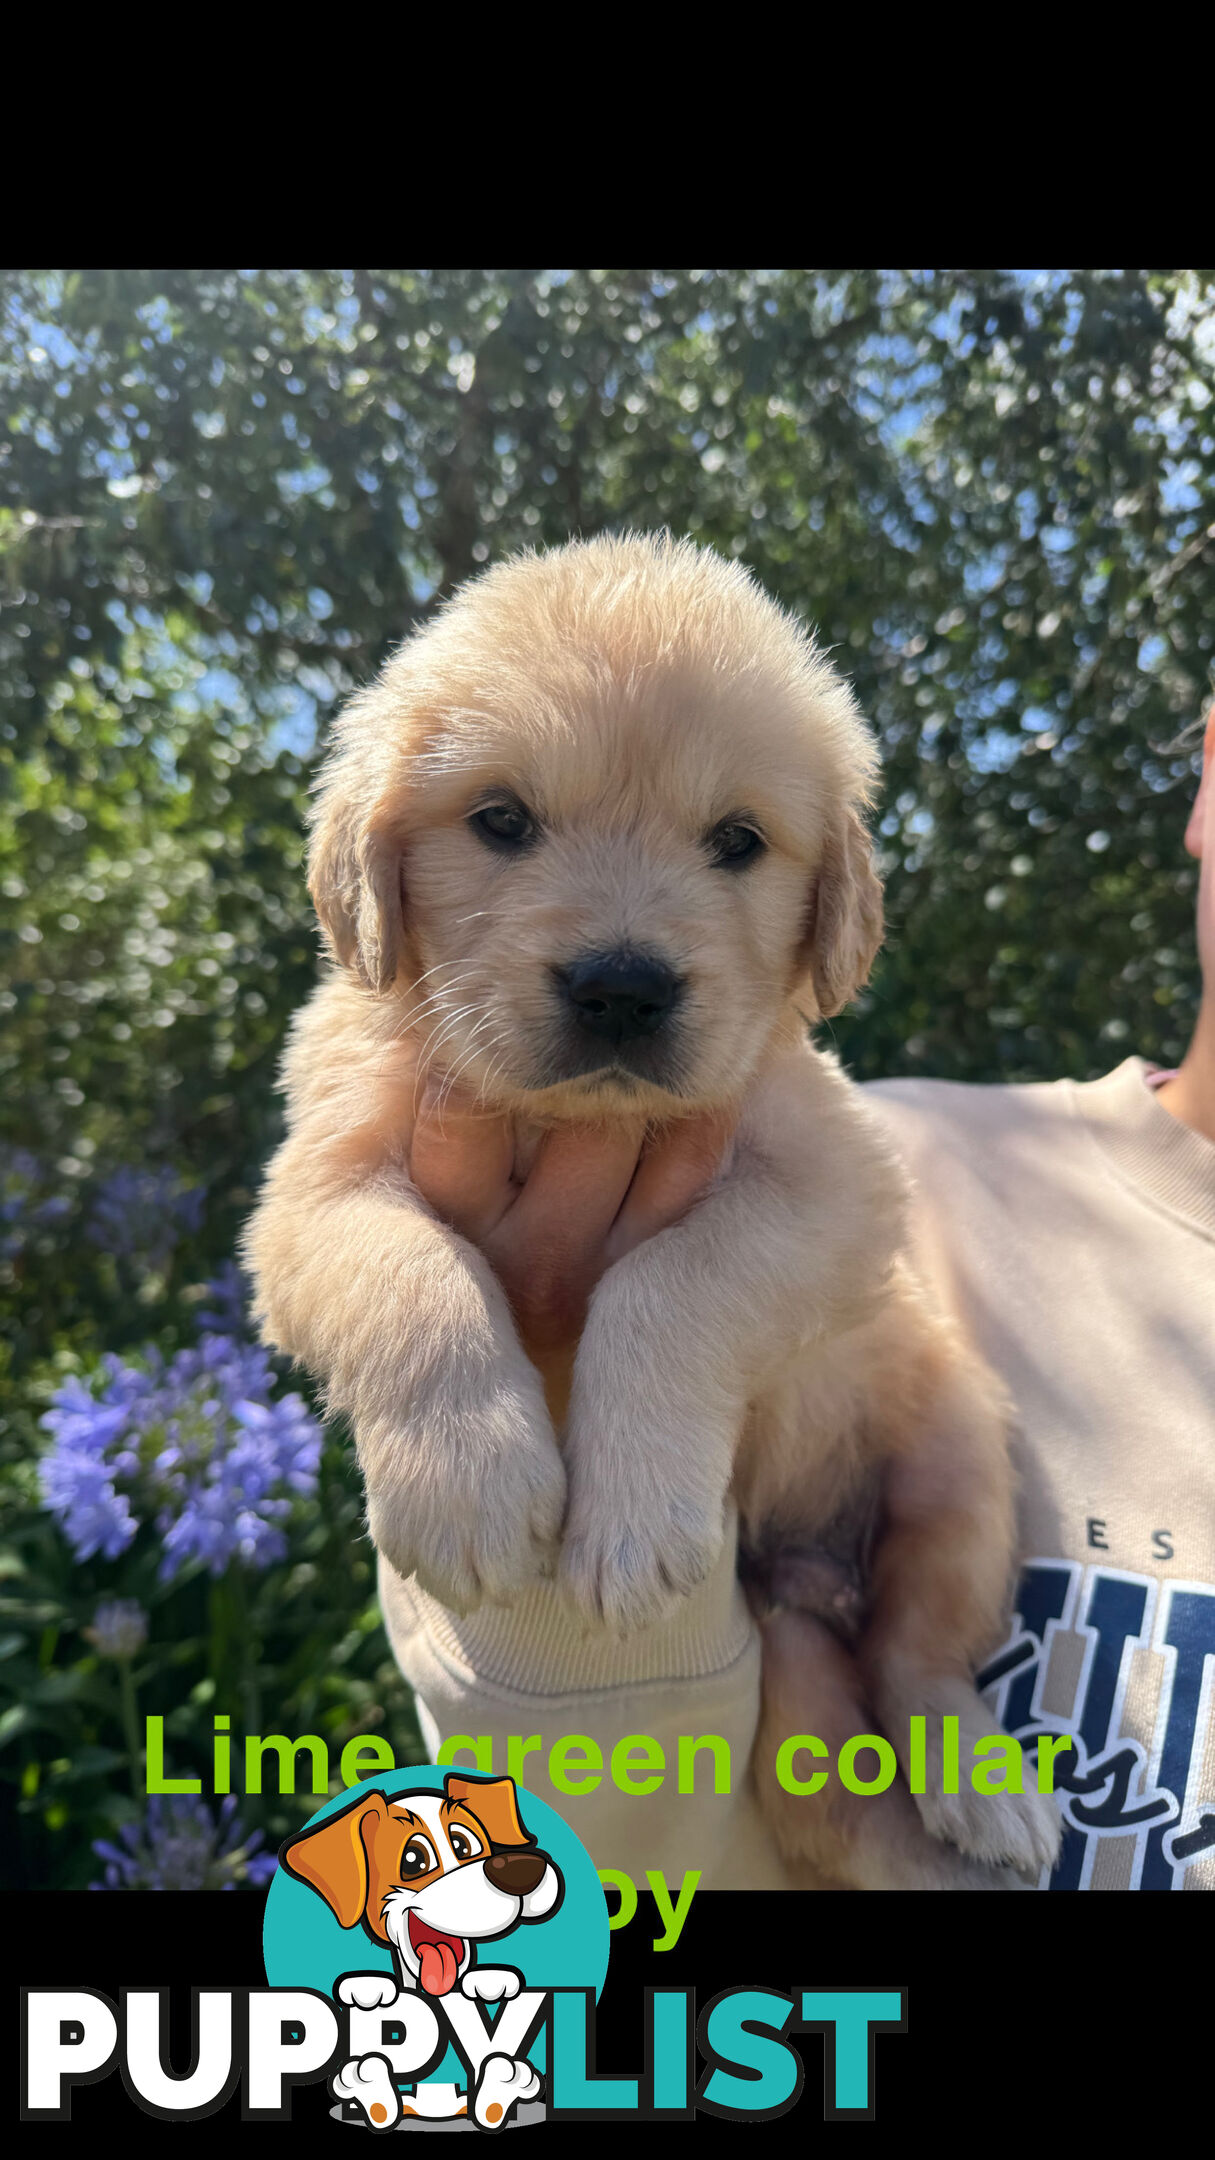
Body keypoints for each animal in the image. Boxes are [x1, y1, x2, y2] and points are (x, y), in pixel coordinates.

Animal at [241, 535, 1055, 1892]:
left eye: (737, 840)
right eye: (501, 821)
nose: (622, 988)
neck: (565, 1117)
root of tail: (813, 1569)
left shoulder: (835, 1184)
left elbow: (669, 1281)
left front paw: (629, 1525)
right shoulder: (313, 1187)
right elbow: (407, 1271)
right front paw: (469, 1487)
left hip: (958, 1459)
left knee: (924, 1655)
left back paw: (985, 1789)